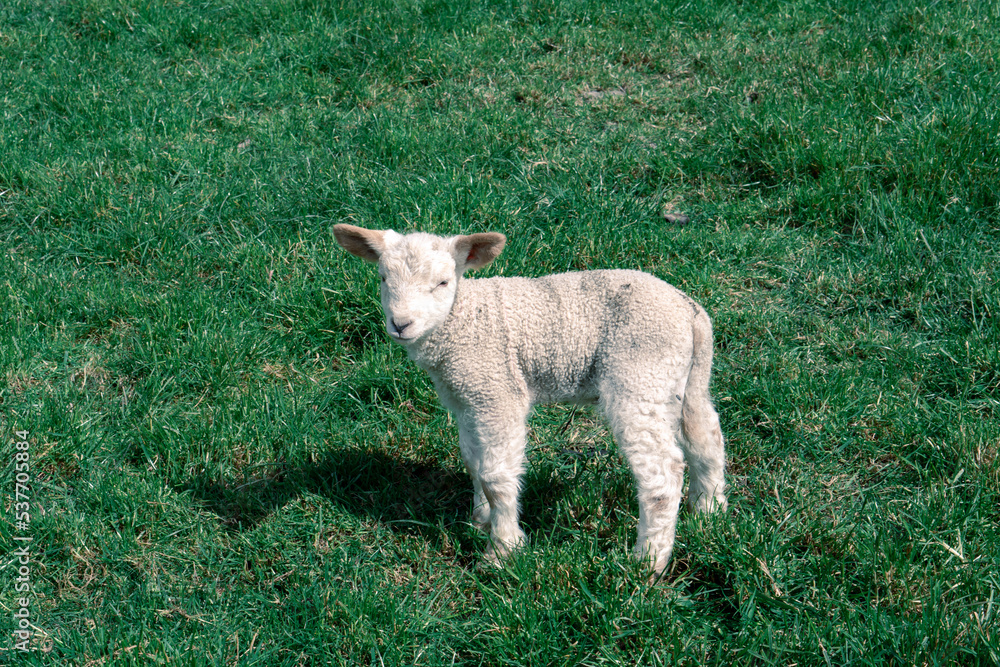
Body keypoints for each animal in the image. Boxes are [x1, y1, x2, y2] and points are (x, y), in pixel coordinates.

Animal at [333, 224, 727, 577]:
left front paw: (503, 550)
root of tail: (690, 311)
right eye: (383, 278)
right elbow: (474, 462)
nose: (401, 324)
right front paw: (481, 520)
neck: (464, 319)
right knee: (706, 436)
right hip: (684, 377)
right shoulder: (467, 398)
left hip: (639, 375)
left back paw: (647, 561)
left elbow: (496, 476)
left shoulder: (496, 392)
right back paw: (708, 512)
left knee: (662, 473)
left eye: (443, 283)